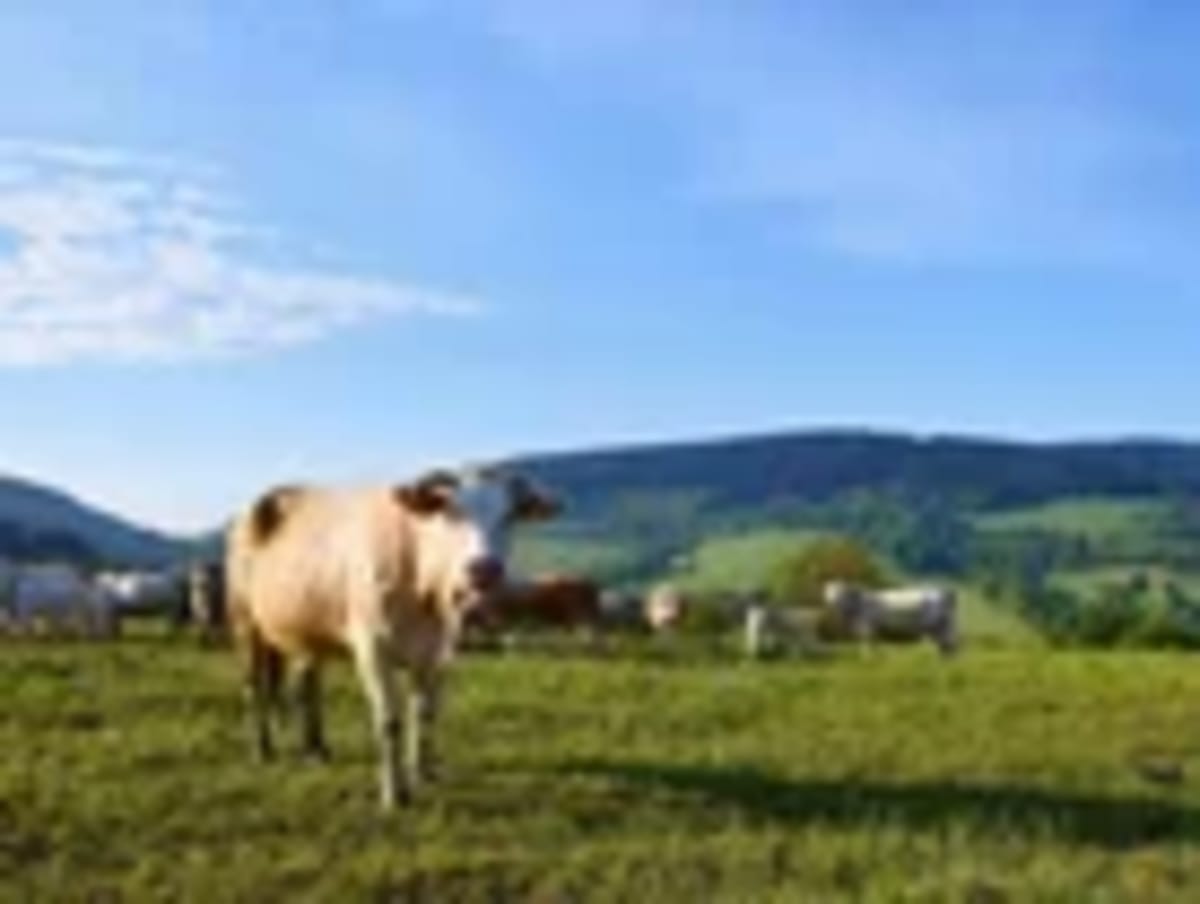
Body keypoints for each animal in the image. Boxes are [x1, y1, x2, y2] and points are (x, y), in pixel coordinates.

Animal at [226, 466, 560, 810]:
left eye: (509, 515)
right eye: (449, 511)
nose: (485, 569)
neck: (423, 591)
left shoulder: (438, 653)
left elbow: (425, 714)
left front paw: (422, 773)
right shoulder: (373, 651)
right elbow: (390, 721)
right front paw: (394, 794)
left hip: (309, 632)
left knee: (306, 686)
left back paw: (316, 749)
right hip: (245, 622)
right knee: (254, 687)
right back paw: (263, 749)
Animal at [821, 580, 959, 657]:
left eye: (840, 592)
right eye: (828, 592)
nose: (832, 601)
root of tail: (942, 592)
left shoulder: (868, 629)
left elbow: (867, 646)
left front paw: (867, 659)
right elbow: (874, 645)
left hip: (935, 626)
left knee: (946, 644)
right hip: (943, 626)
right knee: (947, 645)